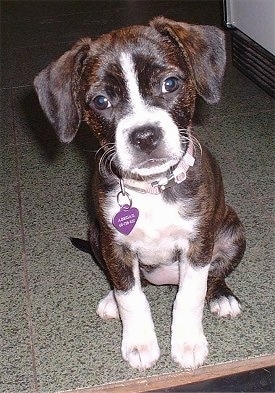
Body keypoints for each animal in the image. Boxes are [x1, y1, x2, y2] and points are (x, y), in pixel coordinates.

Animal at [33, 16, 247, 370]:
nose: (145, 136)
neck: (151, 187)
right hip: (95, 234)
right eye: (101, 101)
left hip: (232, 232)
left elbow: (190, 296)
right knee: (133, 283)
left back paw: (222, 296)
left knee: (214, 276)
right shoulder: (115, 244)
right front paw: (139, 343)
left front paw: (188, 343)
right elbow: (130, 295)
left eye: (170, 84)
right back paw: (111, 299)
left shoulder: (198, 245)